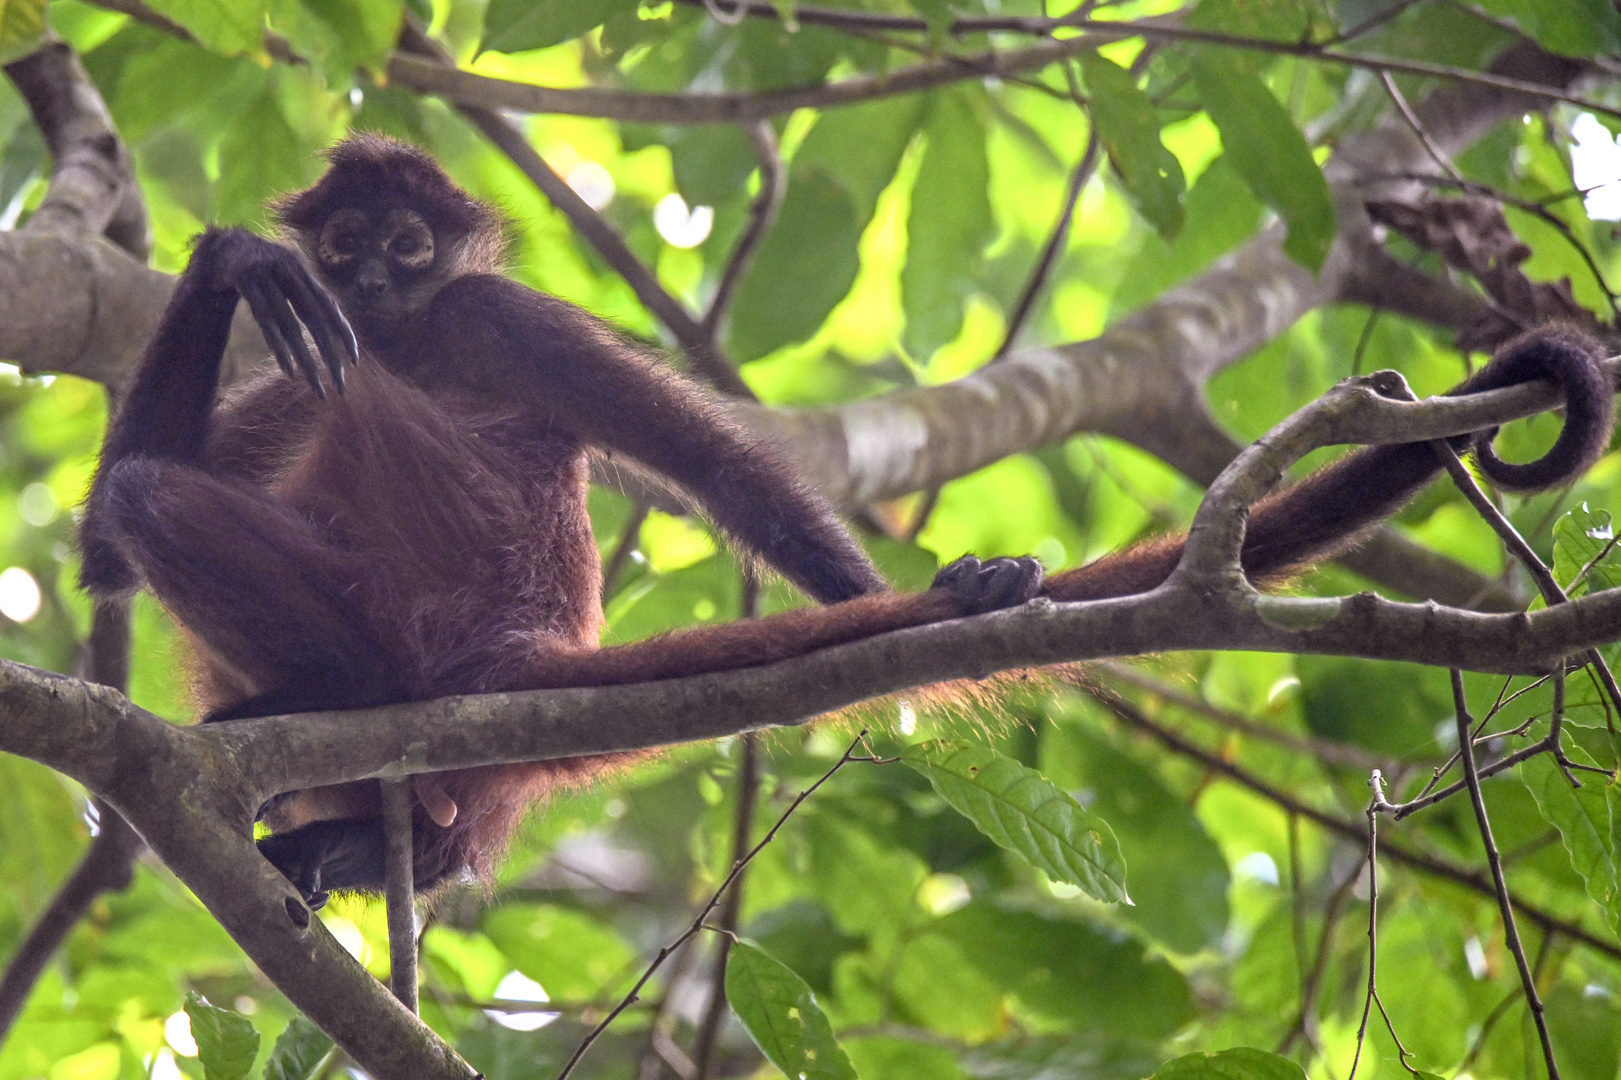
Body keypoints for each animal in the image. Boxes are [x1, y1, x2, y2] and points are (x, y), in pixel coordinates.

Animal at [79, 137, 1621, 908]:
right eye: (349, 242)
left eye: (409, 244)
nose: (368, 277)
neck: (405, 326)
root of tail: (518, 647)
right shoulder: (326, 341)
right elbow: (97, 549)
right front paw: (236, 258)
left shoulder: (483, 315)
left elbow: (719, 468)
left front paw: (927, 590)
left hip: (427, 592)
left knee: (202, 501)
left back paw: (348, 715)